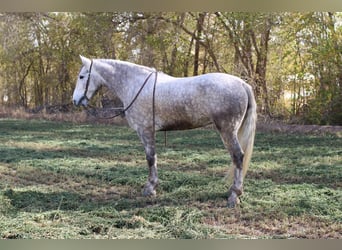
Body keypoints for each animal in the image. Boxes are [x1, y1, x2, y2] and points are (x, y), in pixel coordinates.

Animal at [72, 55, 255, 207]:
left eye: (81, 76)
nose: (75, 100)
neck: (134, 84)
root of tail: (242, 84)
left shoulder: (145, 131)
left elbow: (150, 158)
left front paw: (150, 188)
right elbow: (153, 158)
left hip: (227, 131)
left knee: (238, 157)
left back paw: (234, 195)